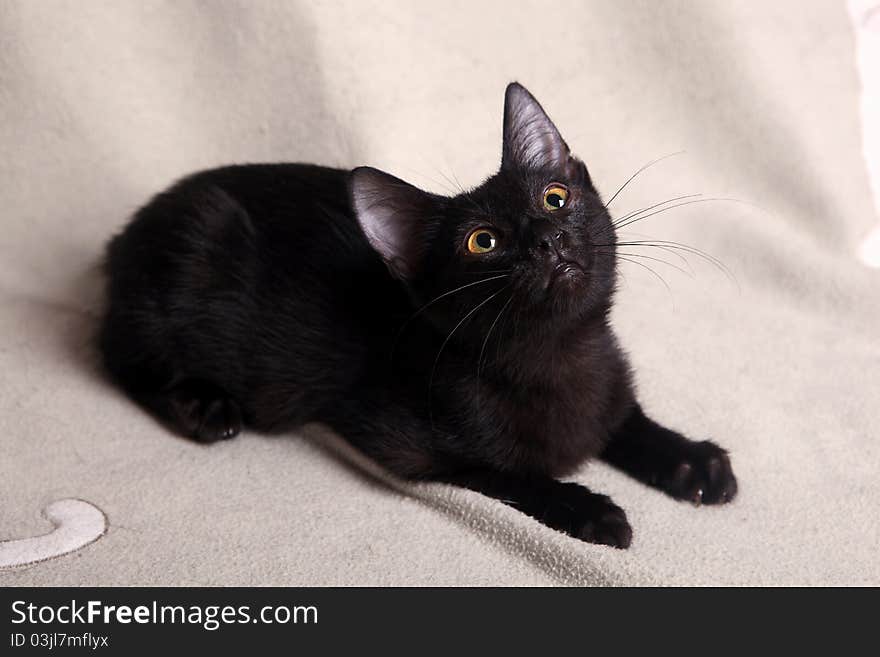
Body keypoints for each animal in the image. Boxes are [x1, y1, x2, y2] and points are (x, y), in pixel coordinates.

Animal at [99, 82, 740, 544]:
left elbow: (626, 420)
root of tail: (121, 235)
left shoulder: (610, 388)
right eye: (482, 241)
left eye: (555, 198)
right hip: (191, 255)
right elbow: (507, 473)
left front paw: (690, 460)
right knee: (123, 360)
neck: (559, 356)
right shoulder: (403, 442)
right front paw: (588, 508)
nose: (545, 238)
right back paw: (204, 406)